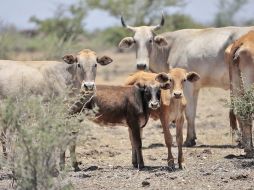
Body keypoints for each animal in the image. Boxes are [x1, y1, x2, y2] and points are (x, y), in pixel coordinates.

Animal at [118, 14, 254, 147]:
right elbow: (193, 112)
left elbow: (188, 113)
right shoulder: (195, 88)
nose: (141, 65)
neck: (170, 48)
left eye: (150, 40)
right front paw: (192, 138)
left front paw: (189, 140)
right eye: (135, 41)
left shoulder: (187, 86)